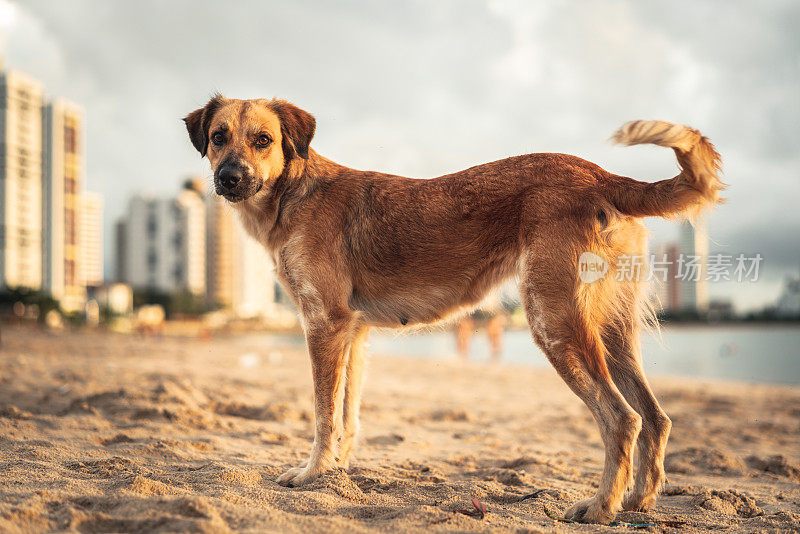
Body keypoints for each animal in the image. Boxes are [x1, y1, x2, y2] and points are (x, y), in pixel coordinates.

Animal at [184, 98, 720, 524]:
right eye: (218, 136)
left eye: (263, 140)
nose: (229, 177)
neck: (293, 194)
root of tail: (601, 175)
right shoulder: (351, 334)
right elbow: (346, 414)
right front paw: (335, 472)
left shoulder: (323, 326)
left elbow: (323, 415)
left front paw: (313, 473)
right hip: (610, 330)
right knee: (655, 417)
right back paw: (638, 501)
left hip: (554, 321)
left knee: (621, 418)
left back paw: (601, 507)